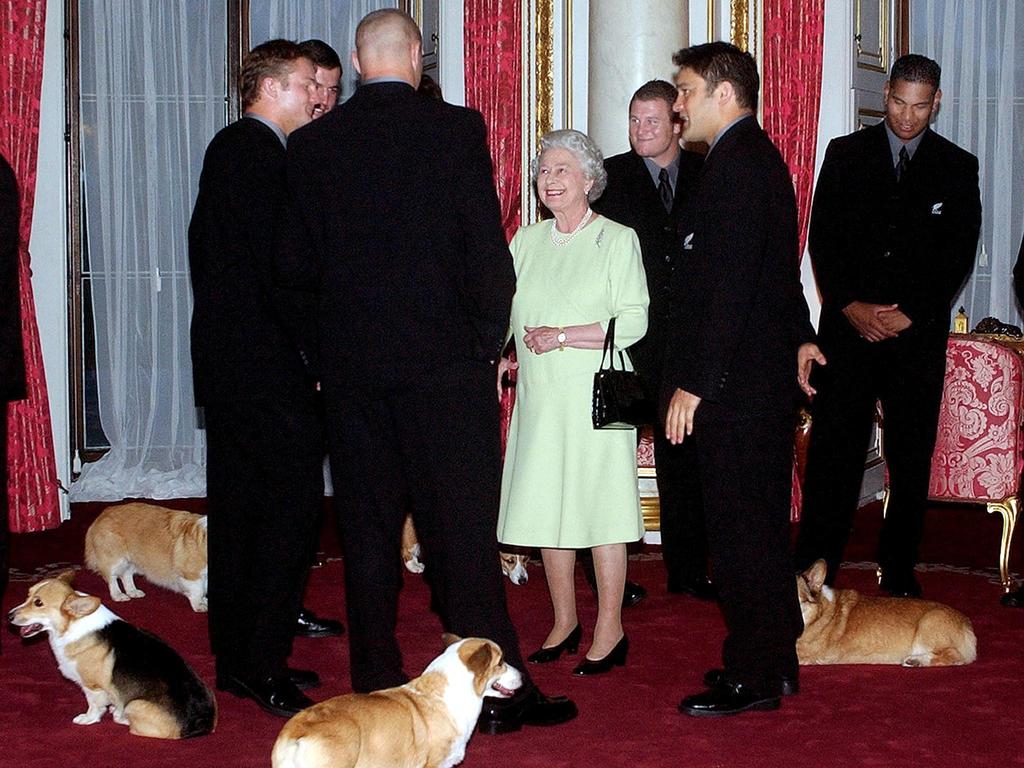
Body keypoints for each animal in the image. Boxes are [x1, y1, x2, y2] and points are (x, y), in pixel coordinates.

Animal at [8, 573, 217, 741]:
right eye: (28, 595)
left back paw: (120, 717)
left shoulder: (92, 687)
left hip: (134, 704)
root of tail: (201, 725)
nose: (8, 616)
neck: (72, 626)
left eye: (38, 603)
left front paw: (87, 719)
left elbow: (94, 706)